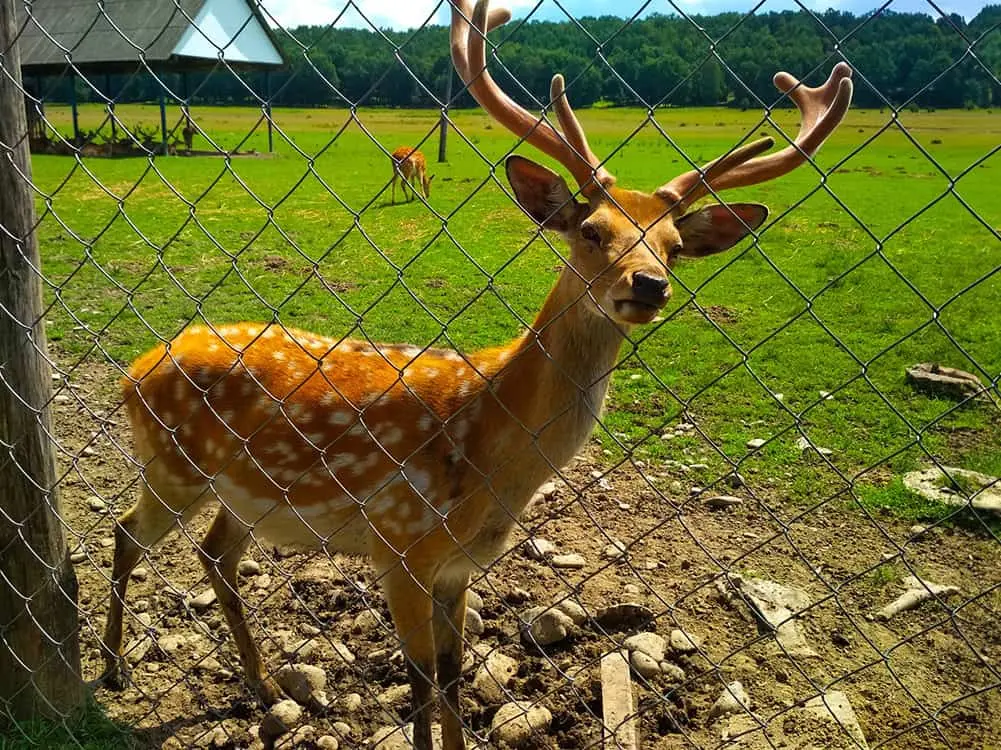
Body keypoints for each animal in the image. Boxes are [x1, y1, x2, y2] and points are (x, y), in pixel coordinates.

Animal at [98, 1, 853, 748]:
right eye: (591, 232)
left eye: (672, 246)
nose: (648, 285)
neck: (492, 452)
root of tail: (136, 366)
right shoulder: (399, 545)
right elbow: (419, 685)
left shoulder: (458, 567)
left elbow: (455, 676)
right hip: (172, 465)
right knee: (128, 533)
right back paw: (112, 671)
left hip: (239, 494)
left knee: (215, 556)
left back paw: (256, 685)